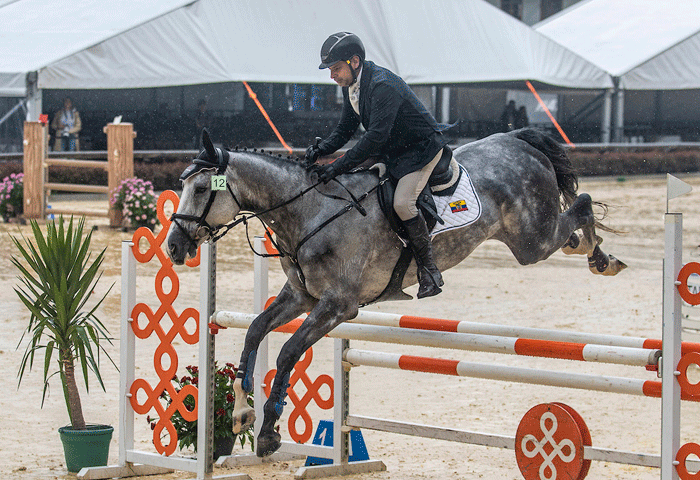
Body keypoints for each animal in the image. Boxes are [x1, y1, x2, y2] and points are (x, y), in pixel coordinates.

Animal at [167, 125, 628, 456]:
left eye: (203, 189)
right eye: (184, 186)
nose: (173, 247)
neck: (310, 210)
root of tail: (518, 140)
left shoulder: (338, 307)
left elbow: (286, 352)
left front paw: (267, 432)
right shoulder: (302, 297)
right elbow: (254, 331)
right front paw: (242, 412)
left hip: (532, 241)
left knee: (583, 205)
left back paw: (603, 260)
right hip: (531, 238)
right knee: (572, 224)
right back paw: (597, 253)